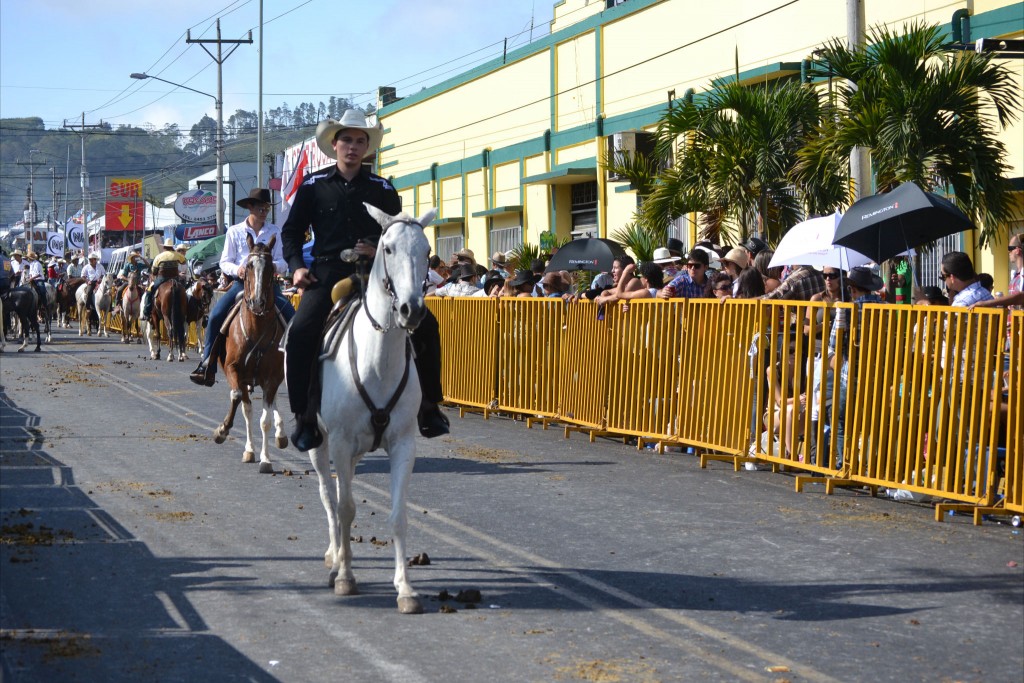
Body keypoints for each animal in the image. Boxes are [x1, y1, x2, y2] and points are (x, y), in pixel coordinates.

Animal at [210, 237, 286, 473]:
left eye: (270, 267)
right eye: (249, 266)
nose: (257, 302)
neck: (256, 329)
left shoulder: (272, 377)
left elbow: (265, 419)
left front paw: (266, 460)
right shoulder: (234, 371)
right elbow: (240, 402)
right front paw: (222, 431)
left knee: (271, 405)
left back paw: (281, 435)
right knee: (247, 407)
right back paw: (249, 449)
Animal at [303, 202, 432, 614]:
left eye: (427, 251)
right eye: (388, 248)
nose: (410, 311)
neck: (379, 359)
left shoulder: (403, 444)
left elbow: (398, 516)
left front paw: (405, 588)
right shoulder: (341, 442)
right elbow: (345, 508)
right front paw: (345, 577)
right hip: (320, 441)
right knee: (329, 496)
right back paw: (335, 558)